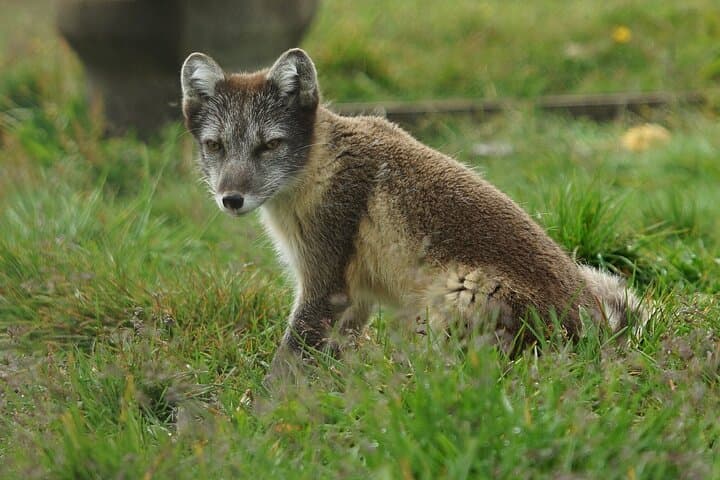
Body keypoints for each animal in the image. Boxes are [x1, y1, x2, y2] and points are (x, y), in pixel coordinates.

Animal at [180, 48, 646, 385]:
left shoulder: (325, 284)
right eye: (215, 146)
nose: (231, 199)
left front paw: (262, 412)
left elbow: (287, 362)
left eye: (270, 145)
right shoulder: (355, 297)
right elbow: (327, 356)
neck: (323, 163)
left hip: (455, 294)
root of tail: (596, 335)